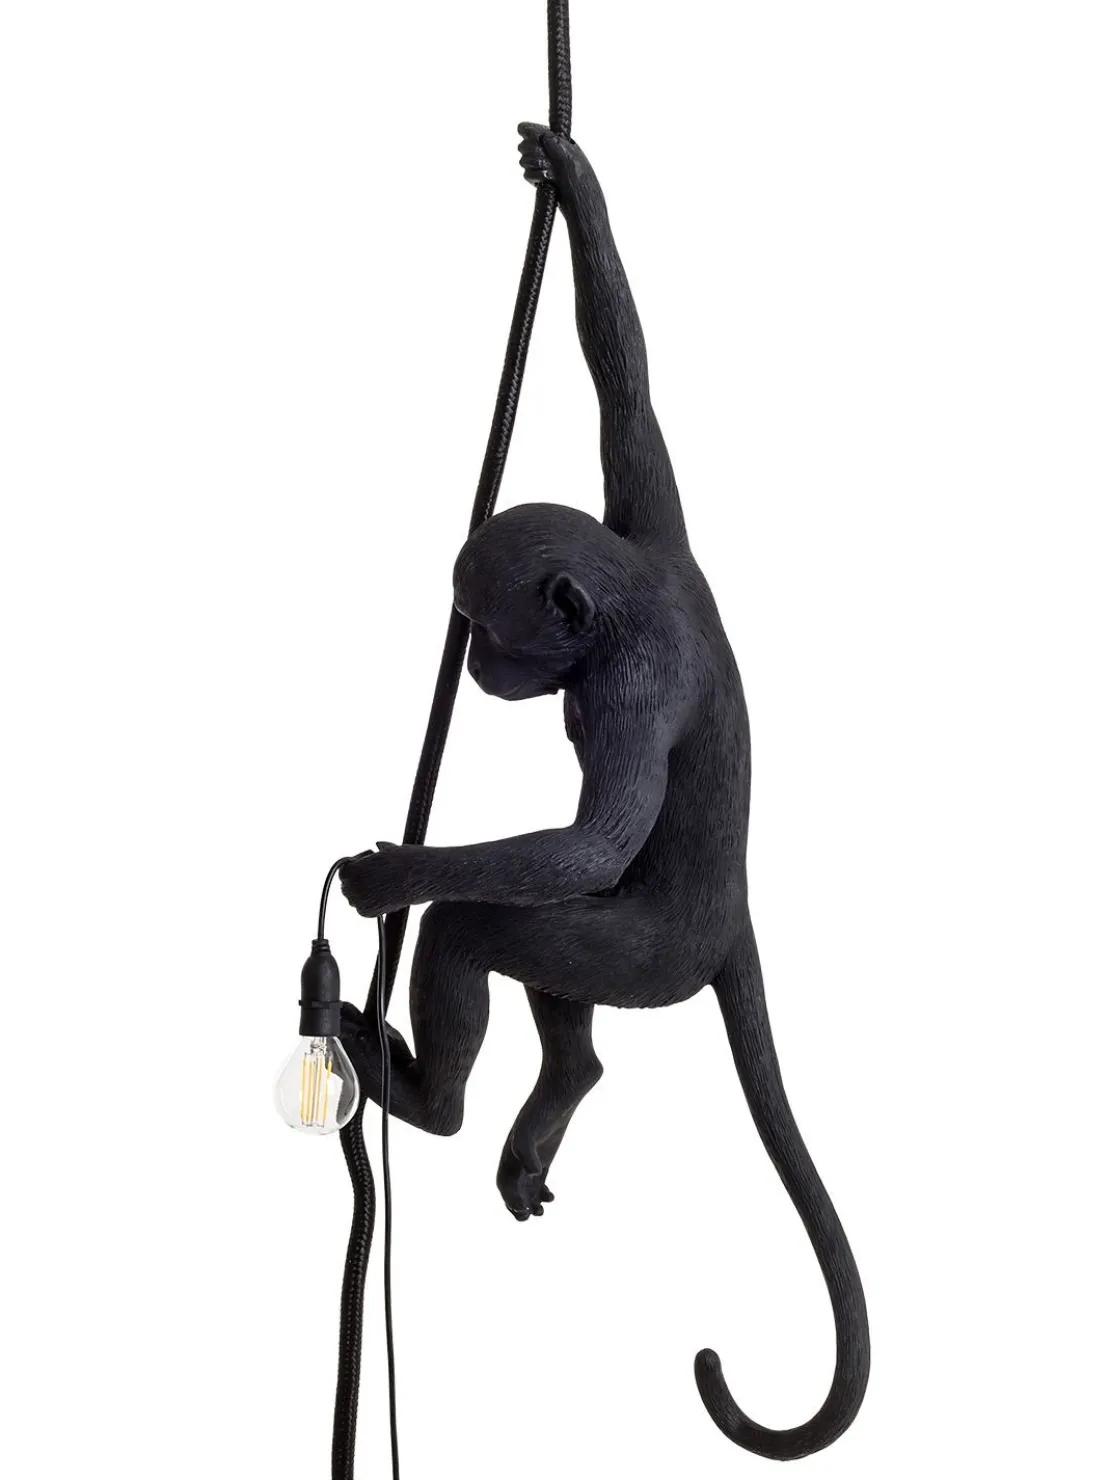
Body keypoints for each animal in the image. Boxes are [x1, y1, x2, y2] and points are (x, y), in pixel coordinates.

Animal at [337, 124, 869, 1461]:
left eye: (488, 628)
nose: (473, 662)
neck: (635, 600)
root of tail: (730, 932)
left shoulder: (632, 684)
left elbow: (588, 843)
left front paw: (388, 875)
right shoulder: (661, 525)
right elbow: (629, 394)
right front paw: (569, 181)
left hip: (646, 957)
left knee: (488, 928)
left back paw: (429, 1100)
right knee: (555, 1001)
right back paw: (549, 1096)